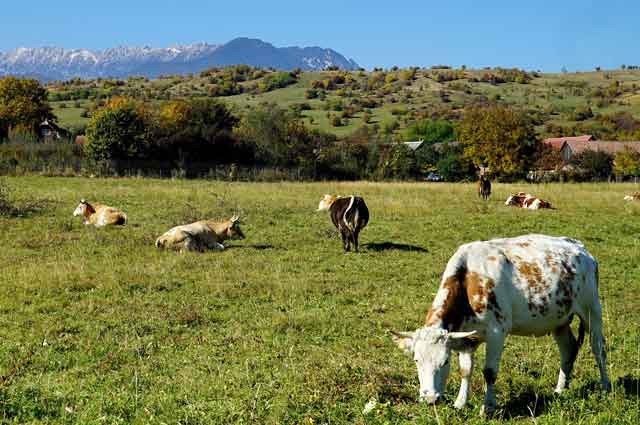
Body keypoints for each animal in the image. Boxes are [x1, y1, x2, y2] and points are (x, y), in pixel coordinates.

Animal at [390, 232, 608, 414]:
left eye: (444, 362)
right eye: (416, 360)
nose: (430, 398)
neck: (468, 279)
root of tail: (580, 247)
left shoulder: (497, 332)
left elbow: (489, 372)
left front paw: (487, 407)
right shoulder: (466, 337)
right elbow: (465, 371)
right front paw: (460, 402)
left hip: (591, 310)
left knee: (598, 348)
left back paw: (605, 386)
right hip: (559, 320)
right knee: (568, 349)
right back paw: (560, 389)